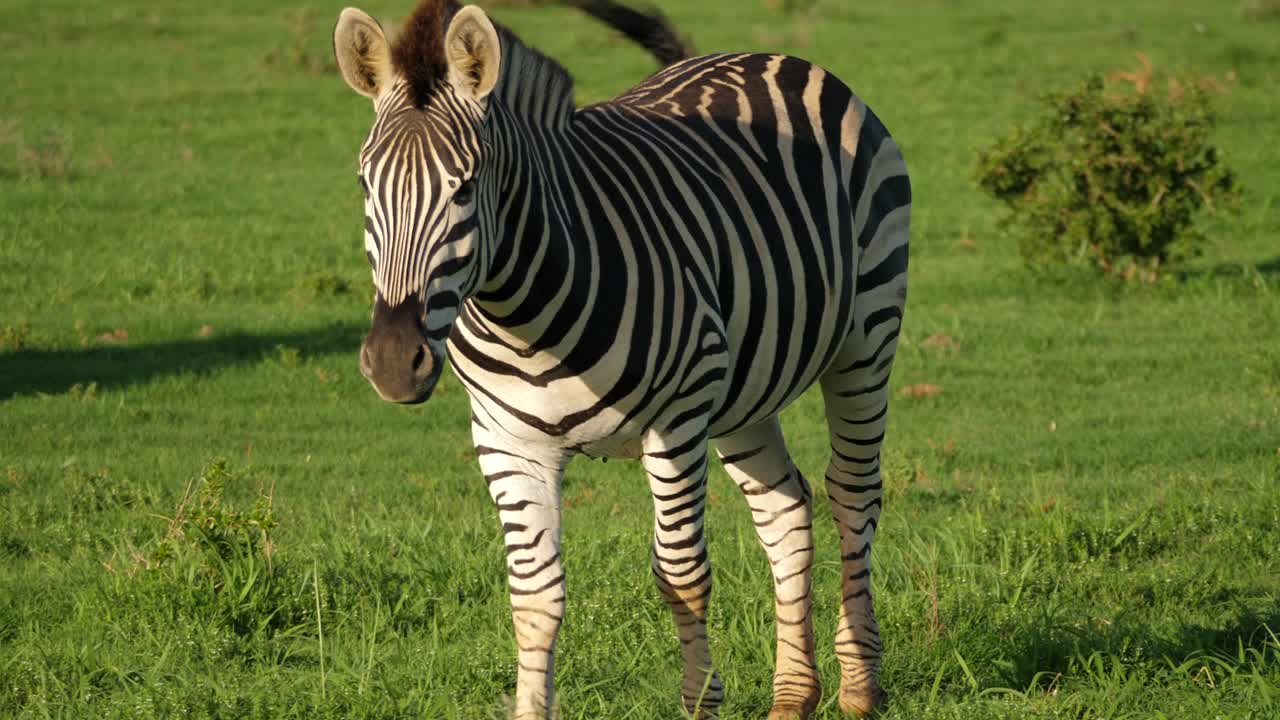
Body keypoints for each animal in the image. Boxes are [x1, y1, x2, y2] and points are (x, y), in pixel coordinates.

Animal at [331, 1, 910, 717]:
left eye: (464, 189)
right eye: (364, 183)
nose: (391, 363)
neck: (523, 316)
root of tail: (766, 56)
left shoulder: (678, 420)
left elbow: (681, 575)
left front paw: (700, 702)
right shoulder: (505, 438)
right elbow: (534, 595)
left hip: (866, 335)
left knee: (852, 492)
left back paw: (859, 685)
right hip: (743, 388)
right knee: (784, 508)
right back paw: (793, 694)